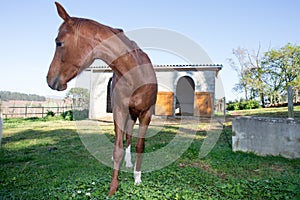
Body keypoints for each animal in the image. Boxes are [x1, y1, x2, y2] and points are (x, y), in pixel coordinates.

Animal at [46, 1, 157, 195]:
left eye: (59, 42)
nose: (49, 80)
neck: (135, 74)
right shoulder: (119, 111)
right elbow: (118, 149)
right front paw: (113, 187)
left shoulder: (146, 113)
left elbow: (140, 146)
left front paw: (137, 178)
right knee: (125, 137)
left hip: (135, 115)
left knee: (131, 138)